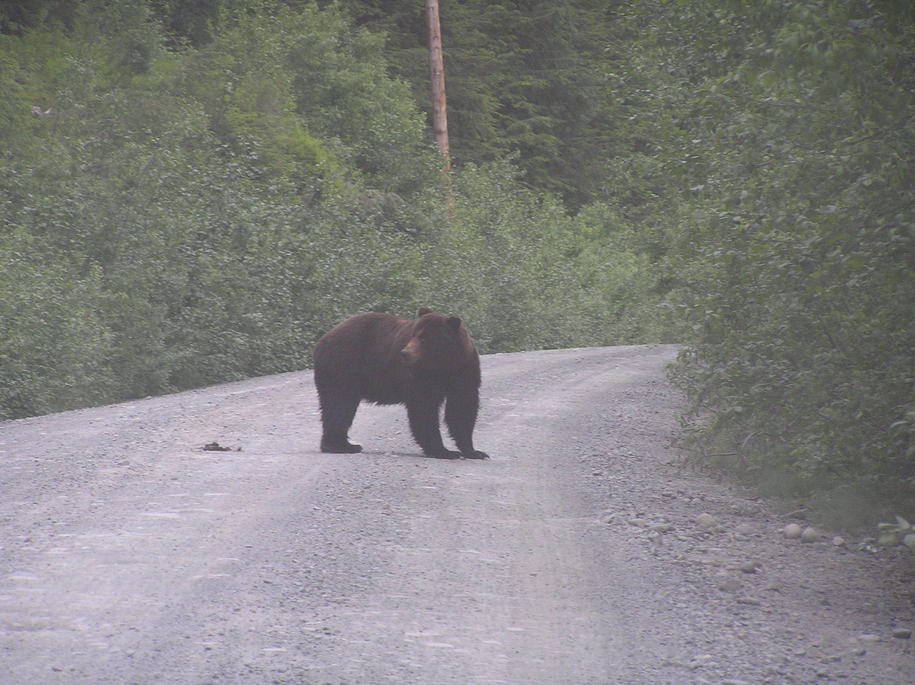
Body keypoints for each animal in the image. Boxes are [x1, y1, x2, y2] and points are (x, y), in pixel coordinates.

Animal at [313, 308, 489, 459]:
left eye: (424, 337)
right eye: (413, 334)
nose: (405, 353)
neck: (442, 366)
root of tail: (322, 340)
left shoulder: (463, 371)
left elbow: (462, 407)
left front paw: (474, 451)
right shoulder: (420, 376)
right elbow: (425, 408)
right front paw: (443, 451)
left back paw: (342, 444)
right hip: (342, 368)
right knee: (339, 405)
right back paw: (342, 445)